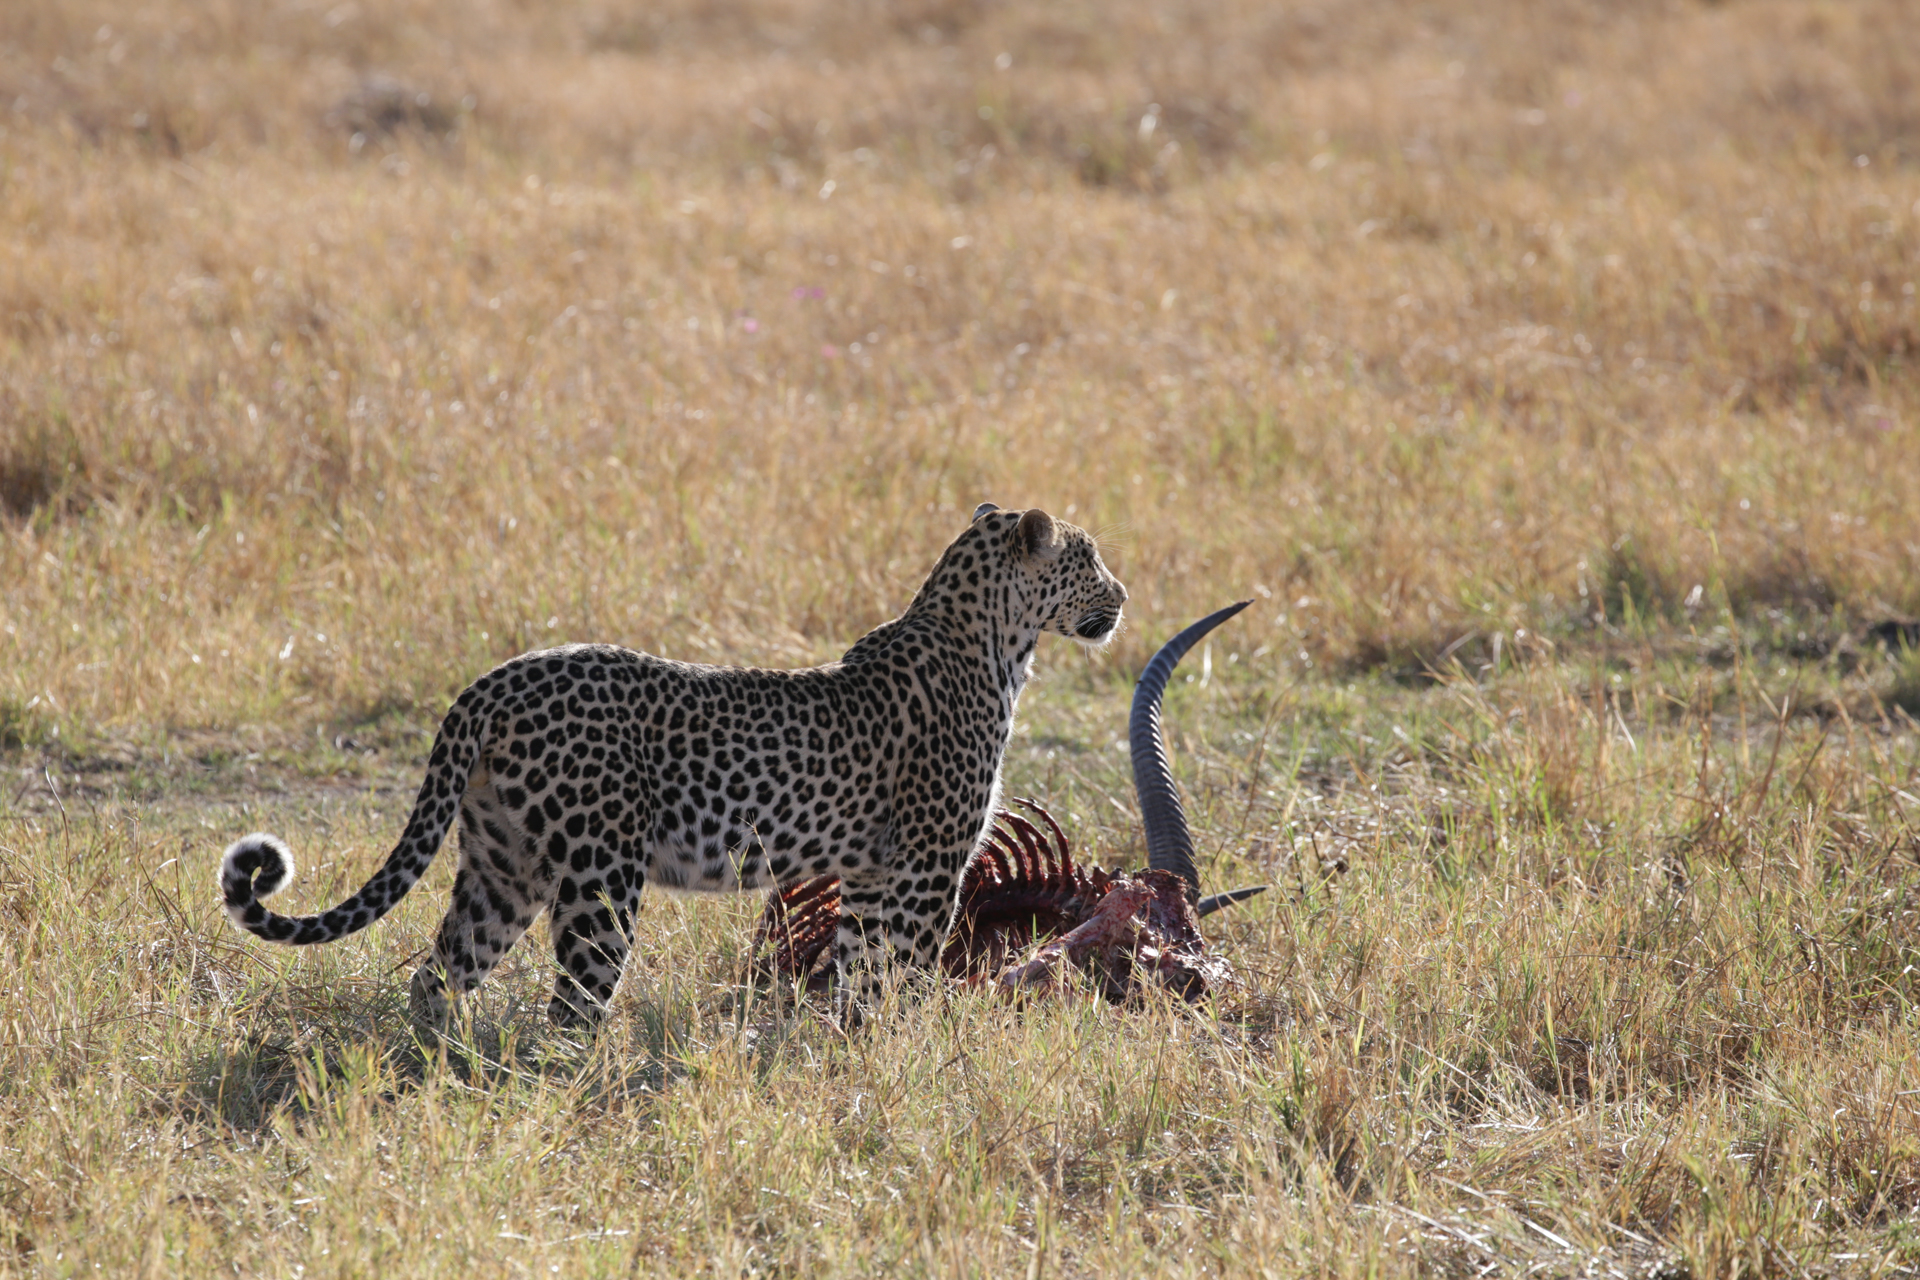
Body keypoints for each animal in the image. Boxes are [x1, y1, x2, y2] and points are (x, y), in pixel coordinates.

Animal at [220, 506, 1121, 1028]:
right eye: (1089, 559)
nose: (1123, 593)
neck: (997, 645)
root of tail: (493, 680)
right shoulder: (925, 874)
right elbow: (897, 979)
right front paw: (901, 1057)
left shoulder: (871, 877)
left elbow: (856, 979)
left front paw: (843, 1057)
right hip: (600, 878)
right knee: (570, 1009)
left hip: (504, 866)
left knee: (439, 977)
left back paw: (438, 1076)